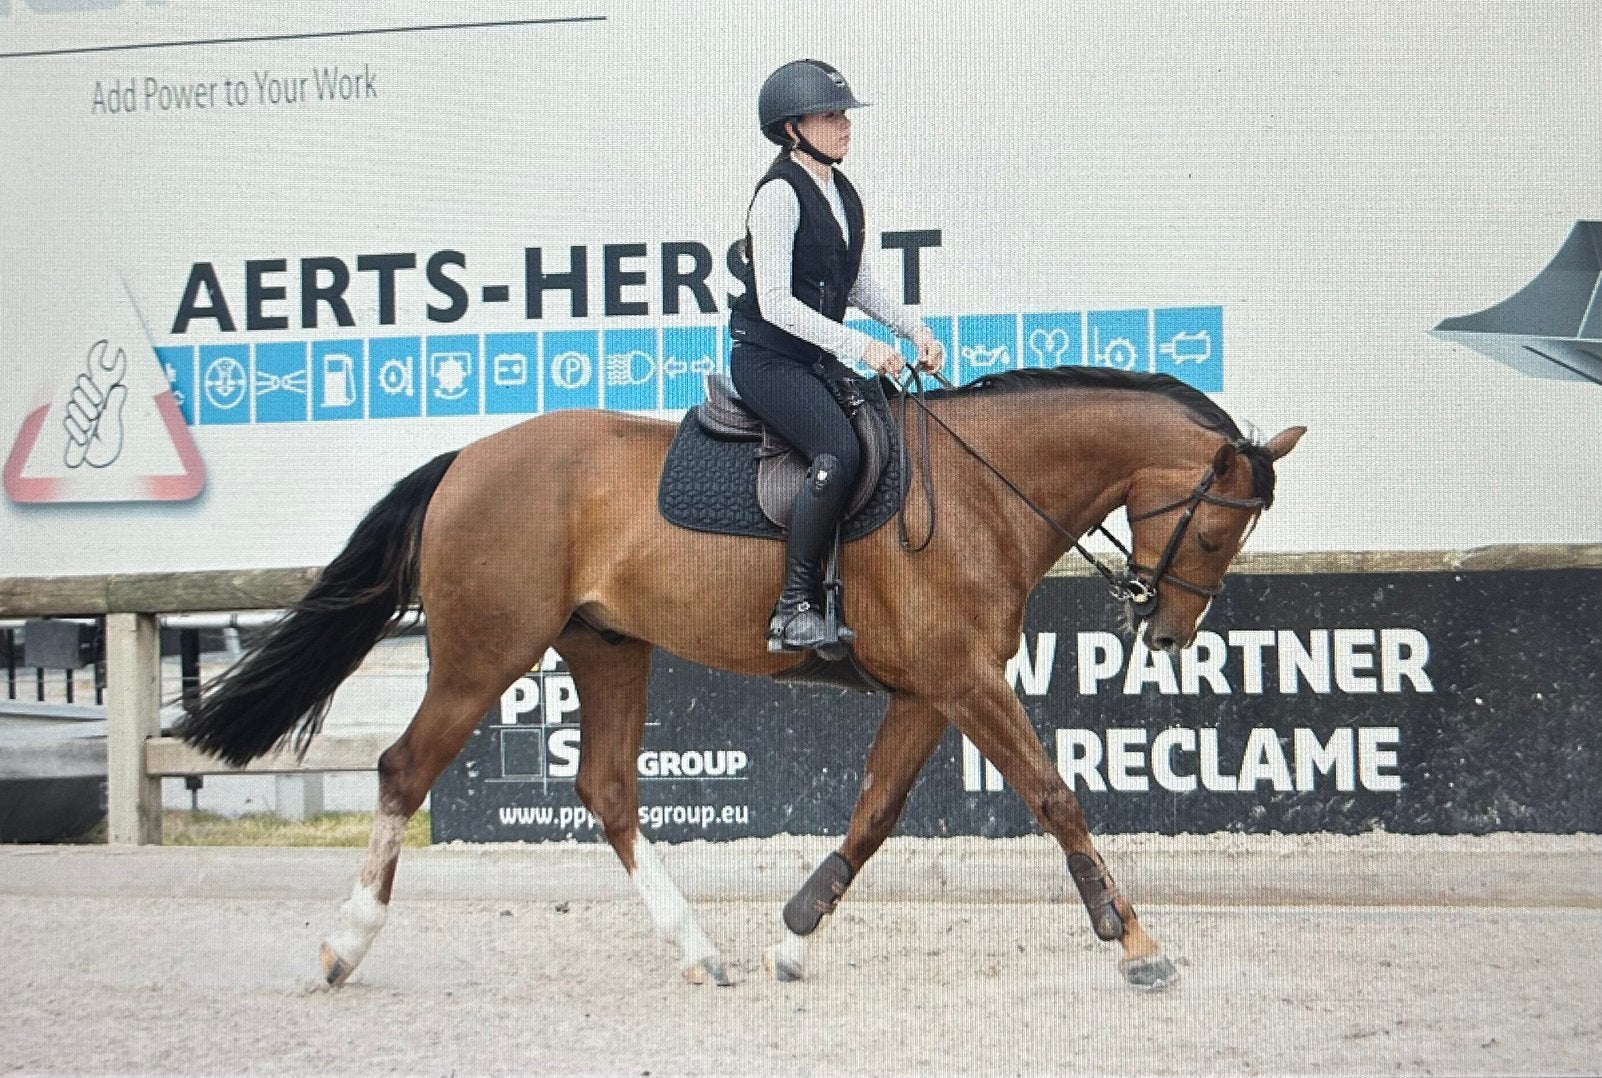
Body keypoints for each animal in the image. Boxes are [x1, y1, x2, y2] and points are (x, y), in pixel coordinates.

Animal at [176, 365, 1304, 992]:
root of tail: (466, 459)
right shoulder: (966, 679)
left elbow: (874, 812)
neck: (983, 487)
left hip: (606, 648)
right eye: (1214, 528)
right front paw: (1137, 942)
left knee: (608, 790)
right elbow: (1054, 797)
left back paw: (699, 948)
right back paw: (344, 945)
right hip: (484, 651)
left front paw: (796, 938)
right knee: (404, 769)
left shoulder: (930, 688)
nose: (1168, 627)